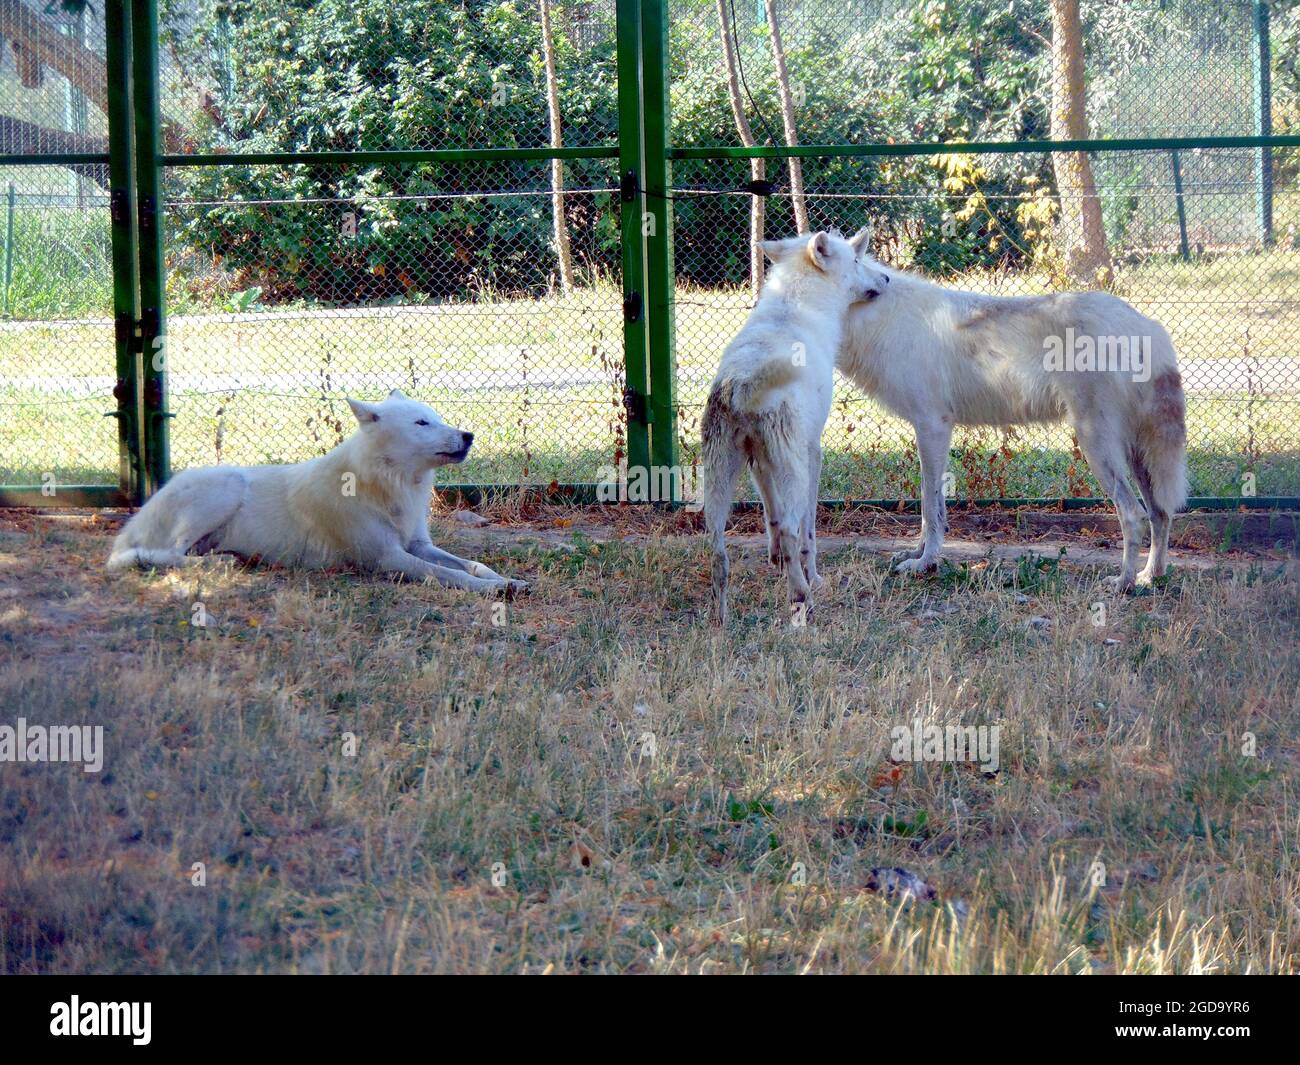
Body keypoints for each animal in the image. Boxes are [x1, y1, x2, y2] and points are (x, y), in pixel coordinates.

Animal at [107, 390, 527, 595]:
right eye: (422, 423)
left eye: (438, 418)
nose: (469, 436)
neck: (389, 484)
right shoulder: (389, 558)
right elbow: (451, 575)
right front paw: (492, 591)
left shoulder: (417, 544)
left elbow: (471, 564)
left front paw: (508, 580)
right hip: (225, 487)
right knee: (168, 555)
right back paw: (222, 563)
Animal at [702, 227, 894, 624]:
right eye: (857, 259)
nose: (886, 279)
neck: (797, 308)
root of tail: (744, 384)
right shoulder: (813, 453)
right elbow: (808, 533)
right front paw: (814, 577)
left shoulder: (757, 463)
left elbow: (770, 517)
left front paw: (775, 559)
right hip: (793, 470)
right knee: (793, 528)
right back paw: (801, 597)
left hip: (718, 483)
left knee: (718, 549)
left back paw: (721, 619)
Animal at [837, 254, 1185, 595]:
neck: (882, 319)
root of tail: (1147, 326)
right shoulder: (932, 430)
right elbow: (933, 508)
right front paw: (917, 553)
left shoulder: (932, 426)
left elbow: (928, 508)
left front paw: (925, 564)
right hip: (1137, 456)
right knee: (1160, 513)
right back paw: (1150, 575)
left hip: (1096, 445)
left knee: (1133, 514)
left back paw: (1123, 583)